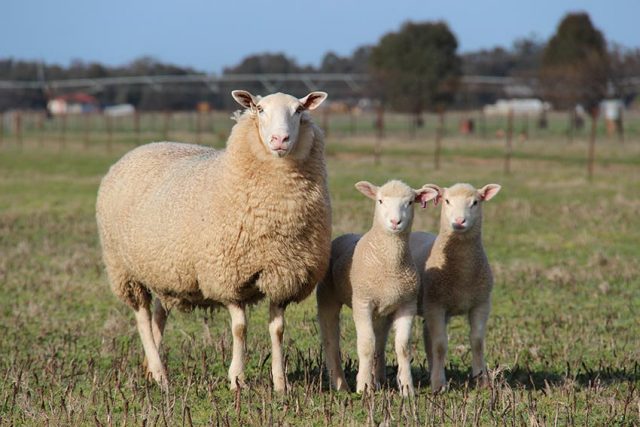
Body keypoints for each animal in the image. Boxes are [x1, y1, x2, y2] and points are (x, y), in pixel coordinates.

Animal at [99, 91, 336, 394]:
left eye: (299, 110)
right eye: (259, 109)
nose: (279, 140)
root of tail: (141, 149)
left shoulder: (283, 276)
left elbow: (278, 329)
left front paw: (280, 383)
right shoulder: (228, 276)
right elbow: (240, 328)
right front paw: (237, 379)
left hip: (164, 269)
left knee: (158, 315)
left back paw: (151, 370)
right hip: (124, 269)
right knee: (141, 317)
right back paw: (160, 374)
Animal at [316, 179, 438, 396]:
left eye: (410, 202)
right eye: (380, 200)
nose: (395, 222)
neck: (389, 264)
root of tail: (345, 235)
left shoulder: (407, 304)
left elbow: (402, 347)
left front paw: (407, 387)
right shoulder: (362, 302)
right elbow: (366, 345)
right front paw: (364, 386)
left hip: (383, 311)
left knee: (380, 343)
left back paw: (378, 379)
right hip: (327, 298)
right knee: (331, 340)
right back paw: (341, 384)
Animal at [412, 182, 502, 392]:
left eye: (475, 202)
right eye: (446, 201)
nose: (459, 221)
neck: (462, 274)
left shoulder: (481, 304)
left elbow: (477, 341)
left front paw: (481, 379)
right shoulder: (435, 305)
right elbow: (440, 345)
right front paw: (439, 384)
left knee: (427, 337)